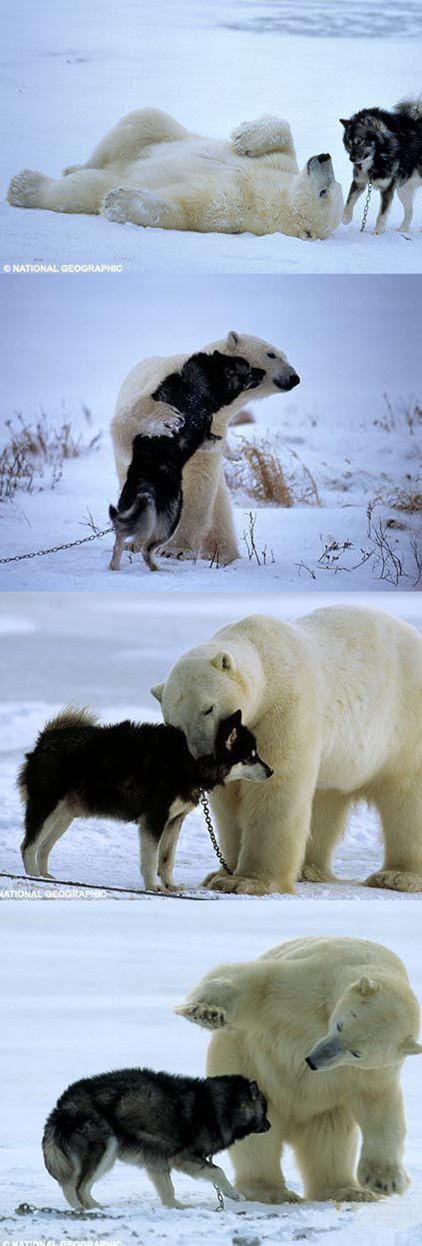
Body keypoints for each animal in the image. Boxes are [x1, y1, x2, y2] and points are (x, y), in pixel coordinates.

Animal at [8, 106, 346, 240]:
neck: (270, 193)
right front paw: (244, 137)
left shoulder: (235, 206)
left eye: (325, 191)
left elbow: (186, 206)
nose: (324, 156)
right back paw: (73, 166)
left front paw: (118, 201)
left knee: (81, 189)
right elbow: (284, 137)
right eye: (334, 185)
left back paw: (23, 186)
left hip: (110, 175)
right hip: (154, 134)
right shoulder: (280, 166)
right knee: (140, 120)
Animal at [110, 331, 298, 565]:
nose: (295, 378)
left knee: (219, 509)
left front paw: (177, 550)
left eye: (285, 355)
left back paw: (223, 554)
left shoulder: (214, 426)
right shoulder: (162, 388)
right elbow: (129, 421)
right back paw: (135, 542)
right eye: (272, 354)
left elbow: (198, 482)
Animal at [153, 603, 422, 897]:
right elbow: (230, 800)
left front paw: (246, 881)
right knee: (325, 799)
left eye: (208, 708)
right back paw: (309, 870)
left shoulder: (284, 707)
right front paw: (220, 873)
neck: (265, 657)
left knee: (407, 797)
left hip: (403, 723)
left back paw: (397, 876)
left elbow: (276, 786)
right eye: (175, 725)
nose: (203, 758)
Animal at [175, 936, 422, 1201]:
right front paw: (206, 1012)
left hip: (325, 1109)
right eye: (340, 1025)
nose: (313, 1060)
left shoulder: (374, 1071)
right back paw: (272, 1192)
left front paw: (384, 1181)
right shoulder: (309, 981)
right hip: (247, 1067)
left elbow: (380, 1107)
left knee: (330, 1141)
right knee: (256, 1138)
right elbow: (254, 983)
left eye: (357, 1053)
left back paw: (346, 1190)